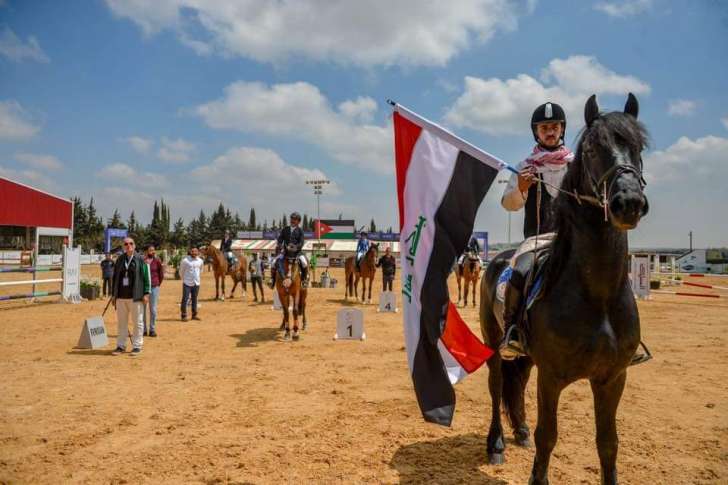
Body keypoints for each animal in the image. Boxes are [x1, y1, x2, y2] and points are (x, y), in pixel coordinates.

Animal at [484, 92, 648, 482]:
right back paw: (496, 445)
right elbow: (548, 436)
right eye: (591, 148)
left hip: (528, 358)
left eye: (639, 147)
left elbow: (608, 443)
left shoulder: (612, 378)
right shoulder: (552, 376)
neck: (597, 296)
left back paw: (519, 432)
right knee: (497, 388)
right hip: (494, 344)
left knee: (517, 382)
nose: (628, 203)